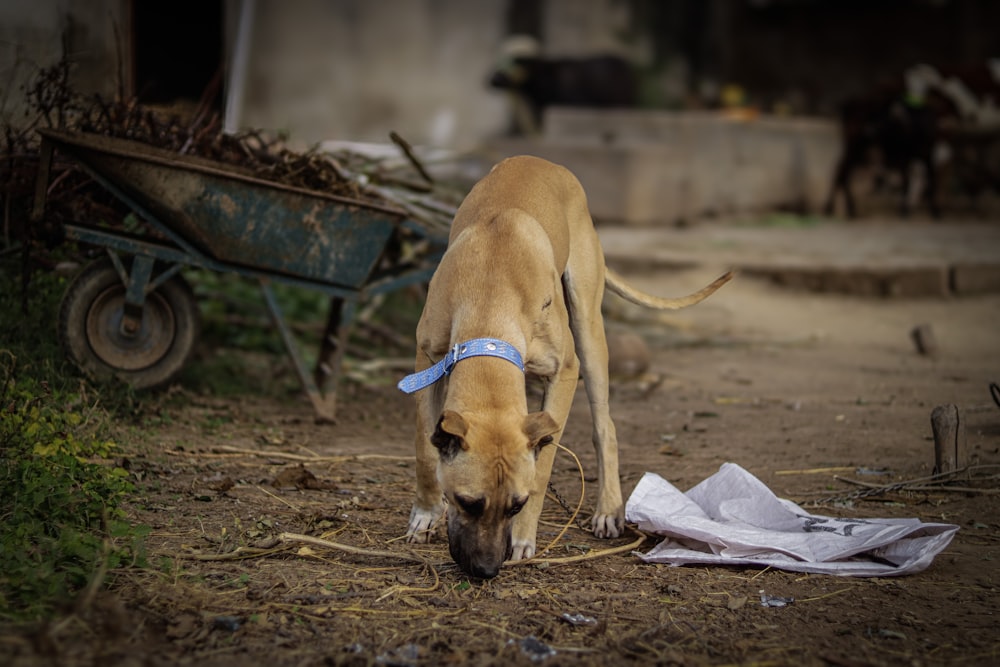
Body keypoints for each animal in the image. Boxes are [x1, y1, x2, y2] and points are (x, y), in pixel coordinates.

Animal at [400, 157, 736, 580]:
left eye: (516, 504)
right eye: (467, 502)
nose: (487, 570)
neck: (492, 297)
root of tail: (542, 161)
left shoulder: (565, 372)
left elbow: (542, 469)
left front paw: (524, 537)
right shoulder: (427, 361)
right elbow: (423, 449)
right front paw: (427, 514)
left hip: (589, 332)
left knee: (605, 426)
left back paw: (608, 508)